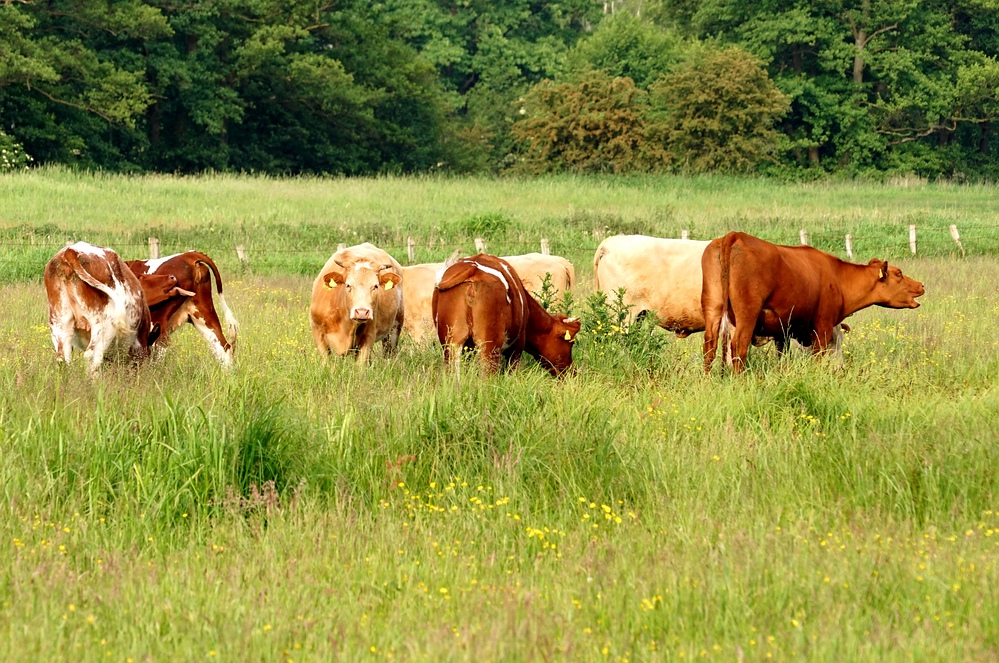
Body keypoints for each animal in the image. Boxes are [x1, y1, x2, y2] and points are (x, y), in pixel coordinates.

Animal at [434, 255, 584, 378]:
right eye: (570, 343)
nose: (573, 372)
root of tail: (473, 269)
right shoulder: (517, 345)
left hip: (451, 344)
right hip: (489, 346)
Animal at [700, 232, 924, 374]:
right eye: (899, 273)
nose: (921, 285)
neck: (838, 277)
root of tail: (735, 235)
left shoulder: (783, 331)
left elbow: (783, 357)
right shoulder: (822, 327)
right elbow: (818, 357)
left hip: (713, 309)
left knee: (710, 346)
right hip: (747, 314)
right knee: (738, 346)